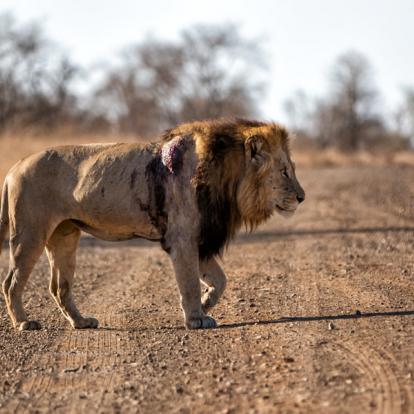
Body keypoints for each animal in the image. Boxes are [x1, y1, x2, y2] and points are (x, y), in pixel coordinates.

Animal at [0, 118, 304, 332]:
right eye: (284, 172)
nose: (302, 197)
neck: (228, 178)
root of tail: (14, 167)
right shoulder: (182, 238)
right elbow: (190, 282)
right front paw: (196, 319)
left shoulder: (198, 237)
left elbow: (219, 280)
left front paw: (206, 304)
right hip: (30, 234)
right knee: (11, 282)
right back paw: (24, 323)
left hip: (65, 235)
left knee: (59, 287)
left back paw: (82, 321)